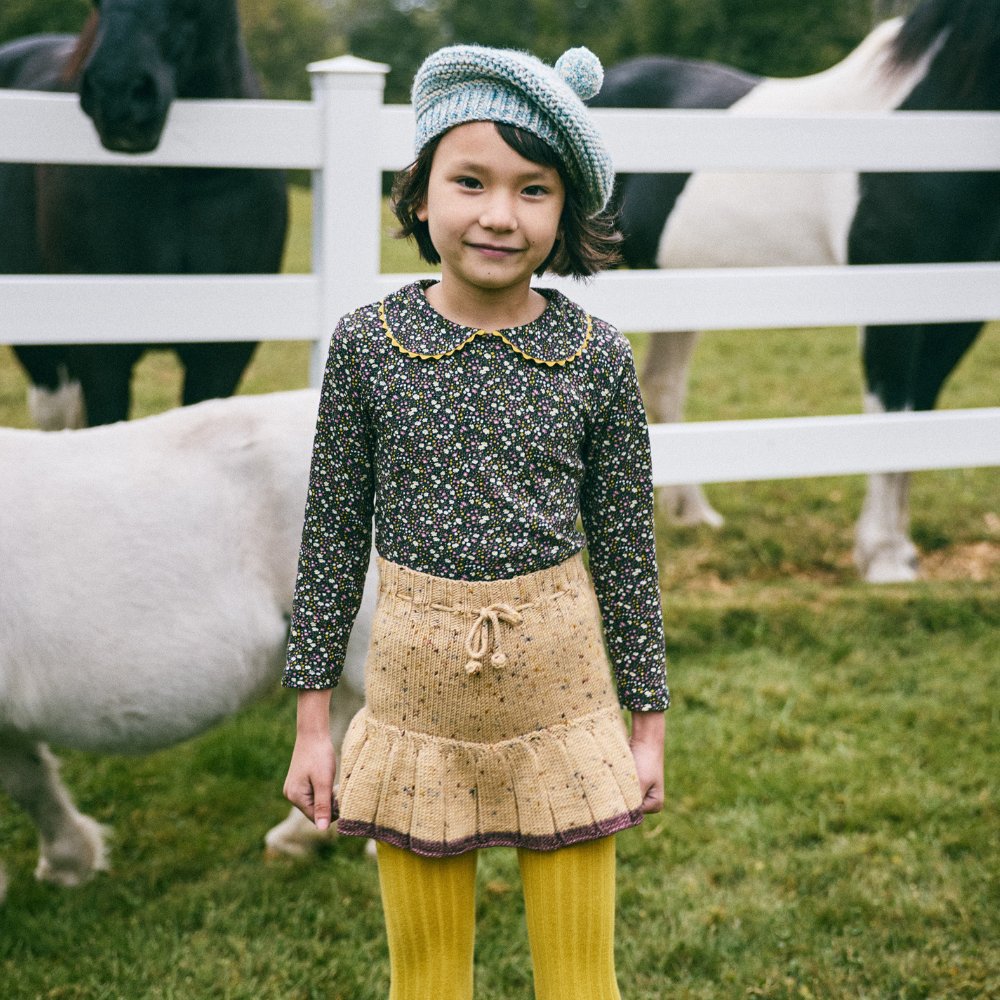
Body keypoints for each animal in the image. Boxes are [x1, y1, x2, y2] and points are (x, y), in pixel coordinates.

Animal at [592, 0, 1000, 584]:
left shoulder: (954, 317)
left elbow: (916, 419)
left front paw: (900, 550)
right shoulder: (890, 305)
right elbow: (890, 416)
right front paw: (882, 558)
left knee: (661, 389)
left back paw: (692, 514)